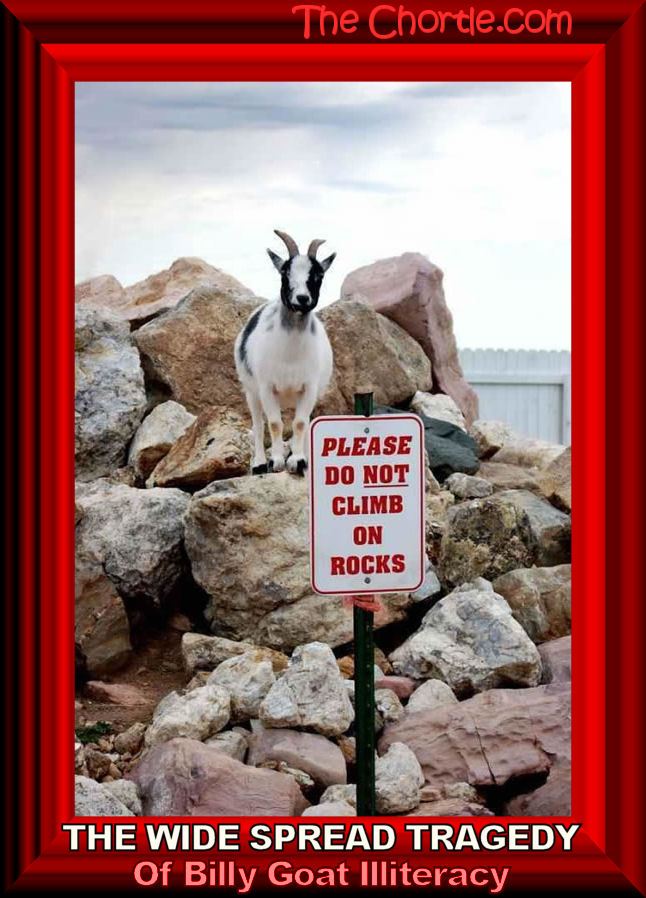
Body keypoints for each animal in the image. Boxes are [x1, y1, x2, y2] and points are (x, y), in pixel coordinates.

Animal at [234, 230, 336, 475]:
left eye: (319, 274)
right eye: (284, 272)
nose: (302, 299)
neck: (290, 354)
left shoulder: (309, 387)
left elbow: (300, 423)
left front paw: (297, 460)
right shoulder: (266, 387)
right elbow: (274, 424)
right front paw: (277, 461)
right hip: (251, 391)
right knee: (258, 425)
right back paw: (260, 463)